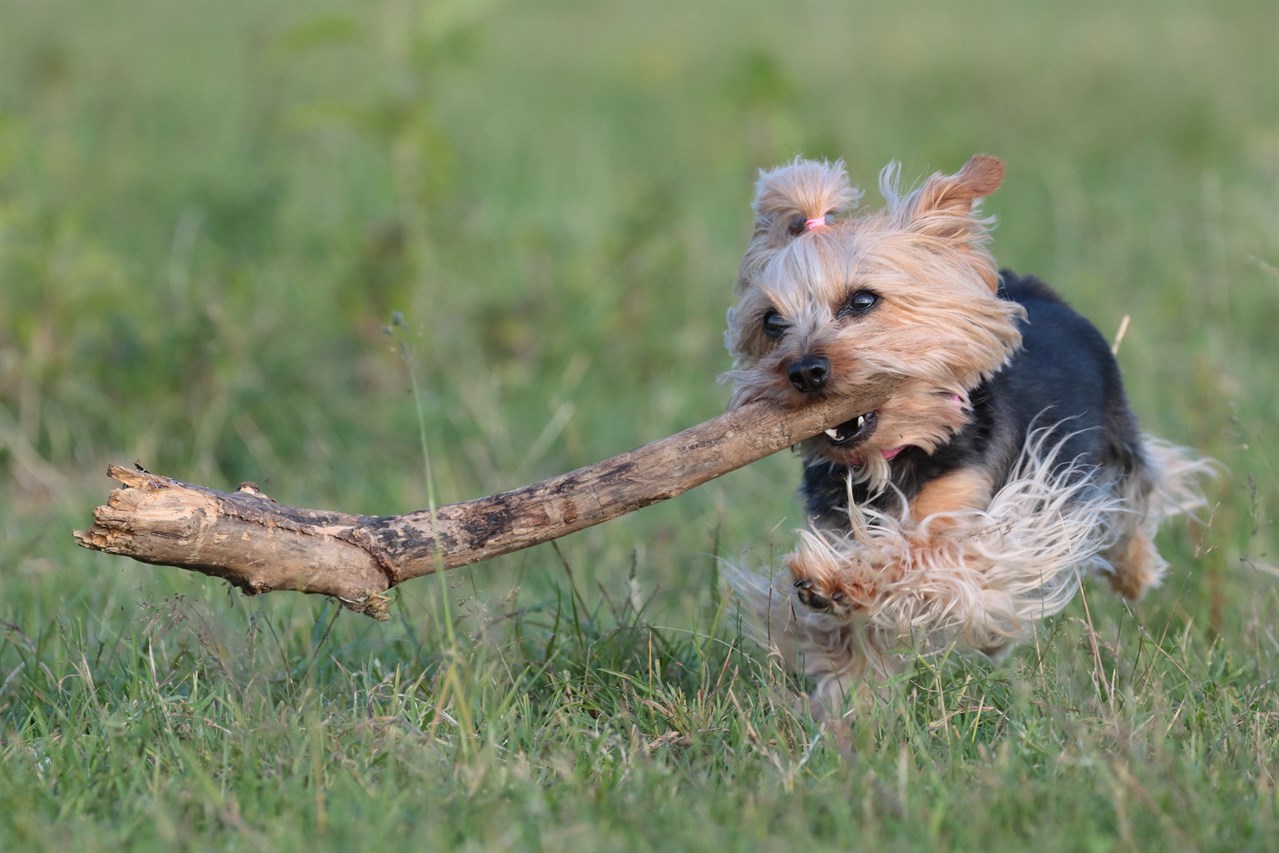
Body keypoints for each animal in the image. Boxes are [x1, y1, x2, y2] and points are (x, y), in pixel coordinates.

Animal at [731, 155, 1207, 716]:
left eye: (863, 300)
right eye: (772, 322)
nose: (804, 371)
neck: (893, 458)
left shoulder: (978, 519)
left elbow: (923, 555)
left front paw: (840, 580)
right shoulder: (835, 518)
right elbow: (843, 640)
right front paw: (853, 705)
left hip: (1114, 438)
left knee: (1134, 501)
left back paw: (1134, 573)